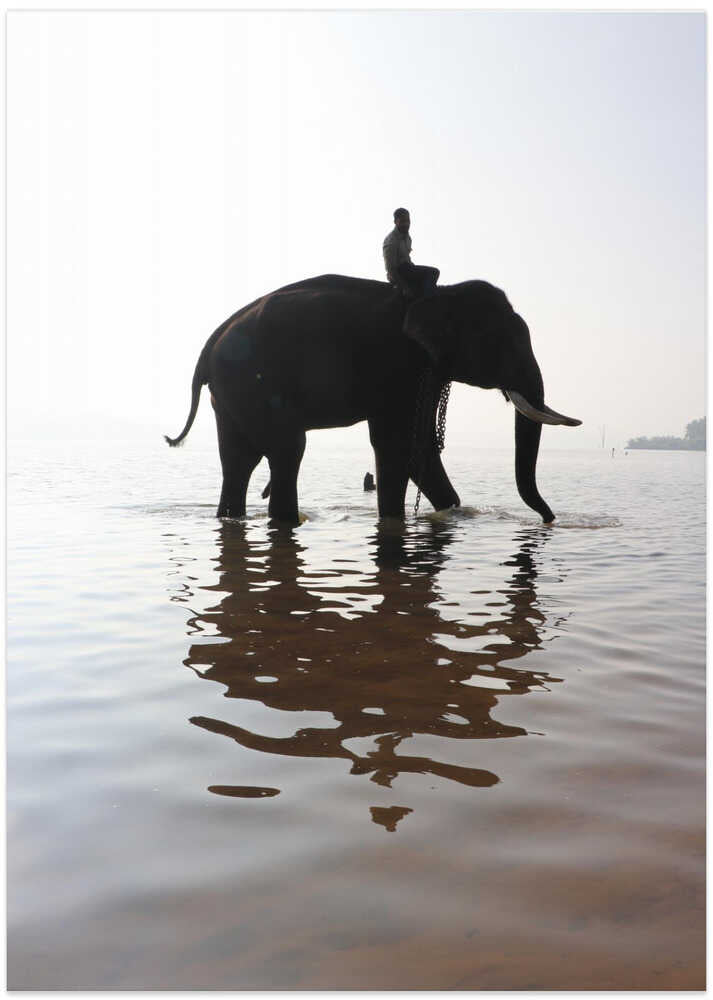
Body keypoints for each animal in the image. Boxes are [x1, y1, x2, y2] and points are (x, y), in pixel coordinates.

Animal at [165, 274, 581, 523]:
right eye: (501, 344)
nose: (549, 519)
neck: (442, 294)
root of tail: (208, 346)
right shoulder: (397, 365)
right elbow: (396, 443)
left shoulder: (425, 371)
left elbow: (421, 446)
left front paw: (448, 513)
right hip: (252, 384)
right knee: (287, 450)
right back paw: (287, 522)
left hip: (229, 394)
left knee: (239, 461)